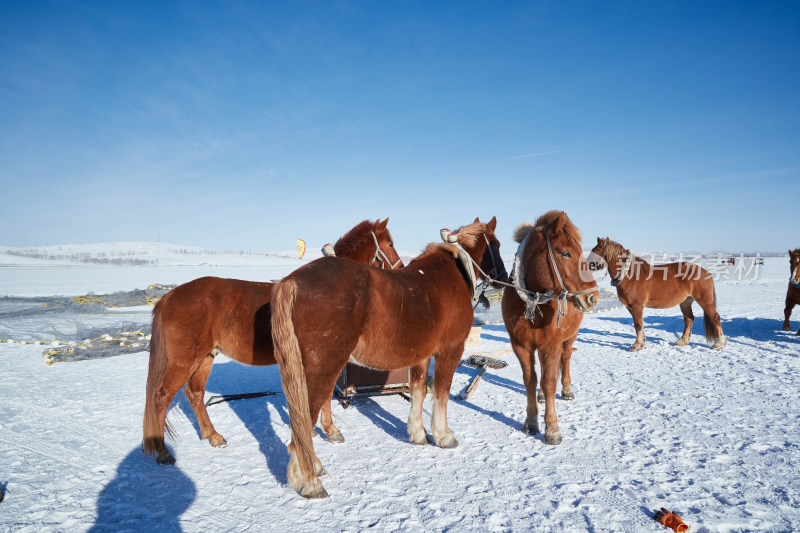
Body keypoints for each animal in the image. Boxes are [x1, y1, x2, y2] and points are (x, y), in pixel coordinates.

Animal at [141, 218, 404, 464]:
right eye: (390, 244)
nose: (402, 269)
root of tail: (170, 296)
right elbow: (325, 394)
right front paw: (329, 430)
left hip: (206, 357)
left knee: (195, 394)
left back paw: (214, 436)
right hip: (185, 360)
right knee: (161, 397)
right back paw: (163, 452)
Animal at [268, 217, 506, 498]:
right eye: (497, 244)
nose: (505, 278)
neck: (450, 275)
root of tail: (292, 280)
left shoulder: (421, 355)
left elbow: (418, 390)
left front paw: (418, 434)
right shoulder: (451, 350)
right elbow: (441, 393)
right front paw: (443, 435)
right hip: (322, 368)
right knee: (304, 421)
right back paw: (309, 480)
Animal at [504, 211, 596, 444]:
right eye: (566, 253)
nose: (593, 297)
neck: (533, 303)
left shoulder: (551, 345)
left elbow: (549, 382)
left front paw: (552, 428)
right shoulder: (520, 346)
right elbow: (530, 380)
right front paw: (531, 421)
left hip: (569, 338)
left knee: (565, 359)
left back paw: (567, 389)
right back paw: (541, 397)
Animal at [588, 236, 724, 350]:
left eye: (593, 251)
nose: (585, 265)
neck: (629, 275)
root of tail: (706, 272)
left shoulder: (637, 306)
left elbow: (638, 324)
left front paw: (637, 345)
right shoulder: (630, 307)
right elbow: (639, 325)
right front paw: (642, 342)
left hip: (704, 301)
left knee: (715, 317)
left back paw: (719, 343)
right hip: (685, 302)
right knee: (689, 319)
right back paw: (682, 341)